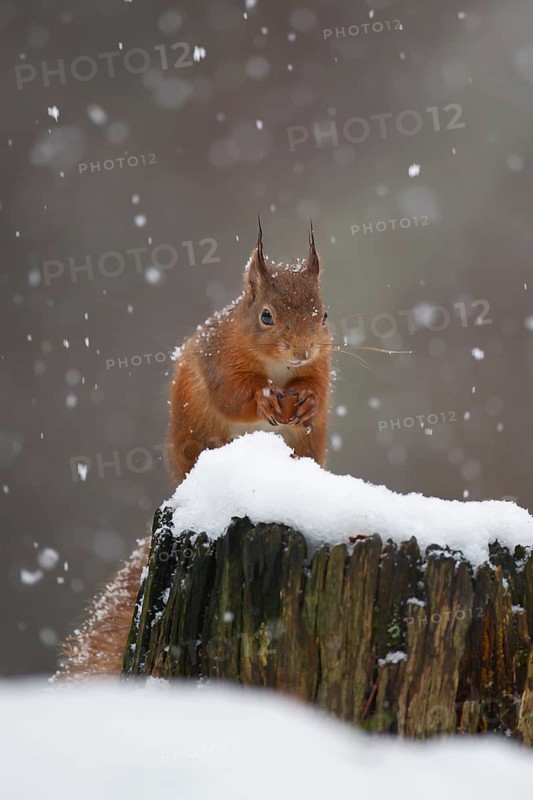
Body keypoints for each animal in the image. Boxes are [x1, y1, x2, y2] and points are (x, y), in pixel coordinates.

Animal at [58, 223, 331, 678]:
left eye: (324, 315)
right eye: (266, 316)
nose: (302, 350)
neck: (280, 370)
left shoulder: (321, 369)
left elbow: (318, 392)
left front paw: (306, 402)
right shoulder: (219, 359)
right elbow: (233, 396)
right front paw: (263, 399)